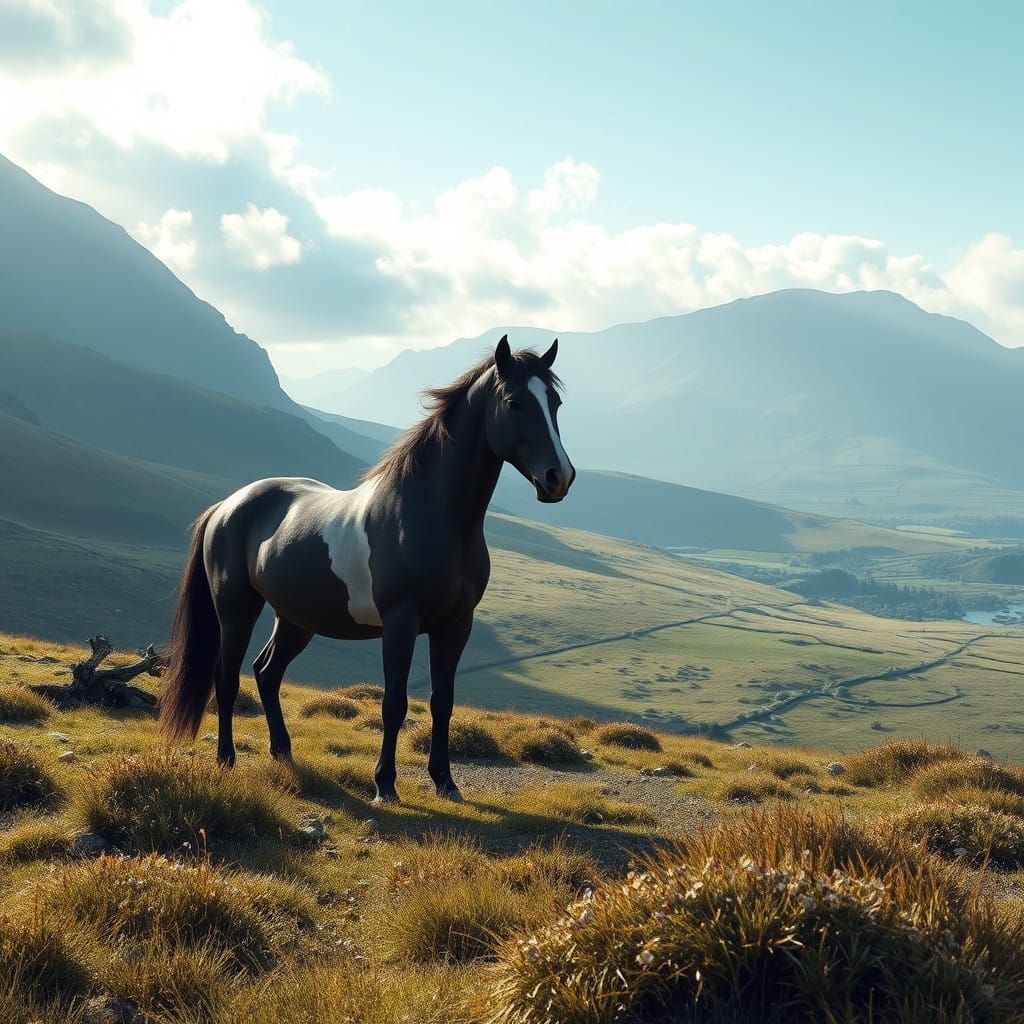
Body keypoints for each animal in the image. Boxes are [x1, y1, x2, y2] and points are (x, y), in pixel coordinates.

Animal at [159, 336, 574, 803]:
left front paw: (445, 782)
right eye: (514, 401)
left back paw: (283, 754)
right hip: (236, 610)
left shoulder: (456, 625)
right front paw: (385, 784)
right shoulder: (400, 623)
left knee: (266, 673)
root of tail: (226, 506)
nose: (559, 477)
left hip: (296, 619)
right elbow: (394, 703)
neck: (430, 515)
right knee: (227, 678)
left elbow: (442, 702)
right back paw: (226, 760)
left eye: (555, 402)